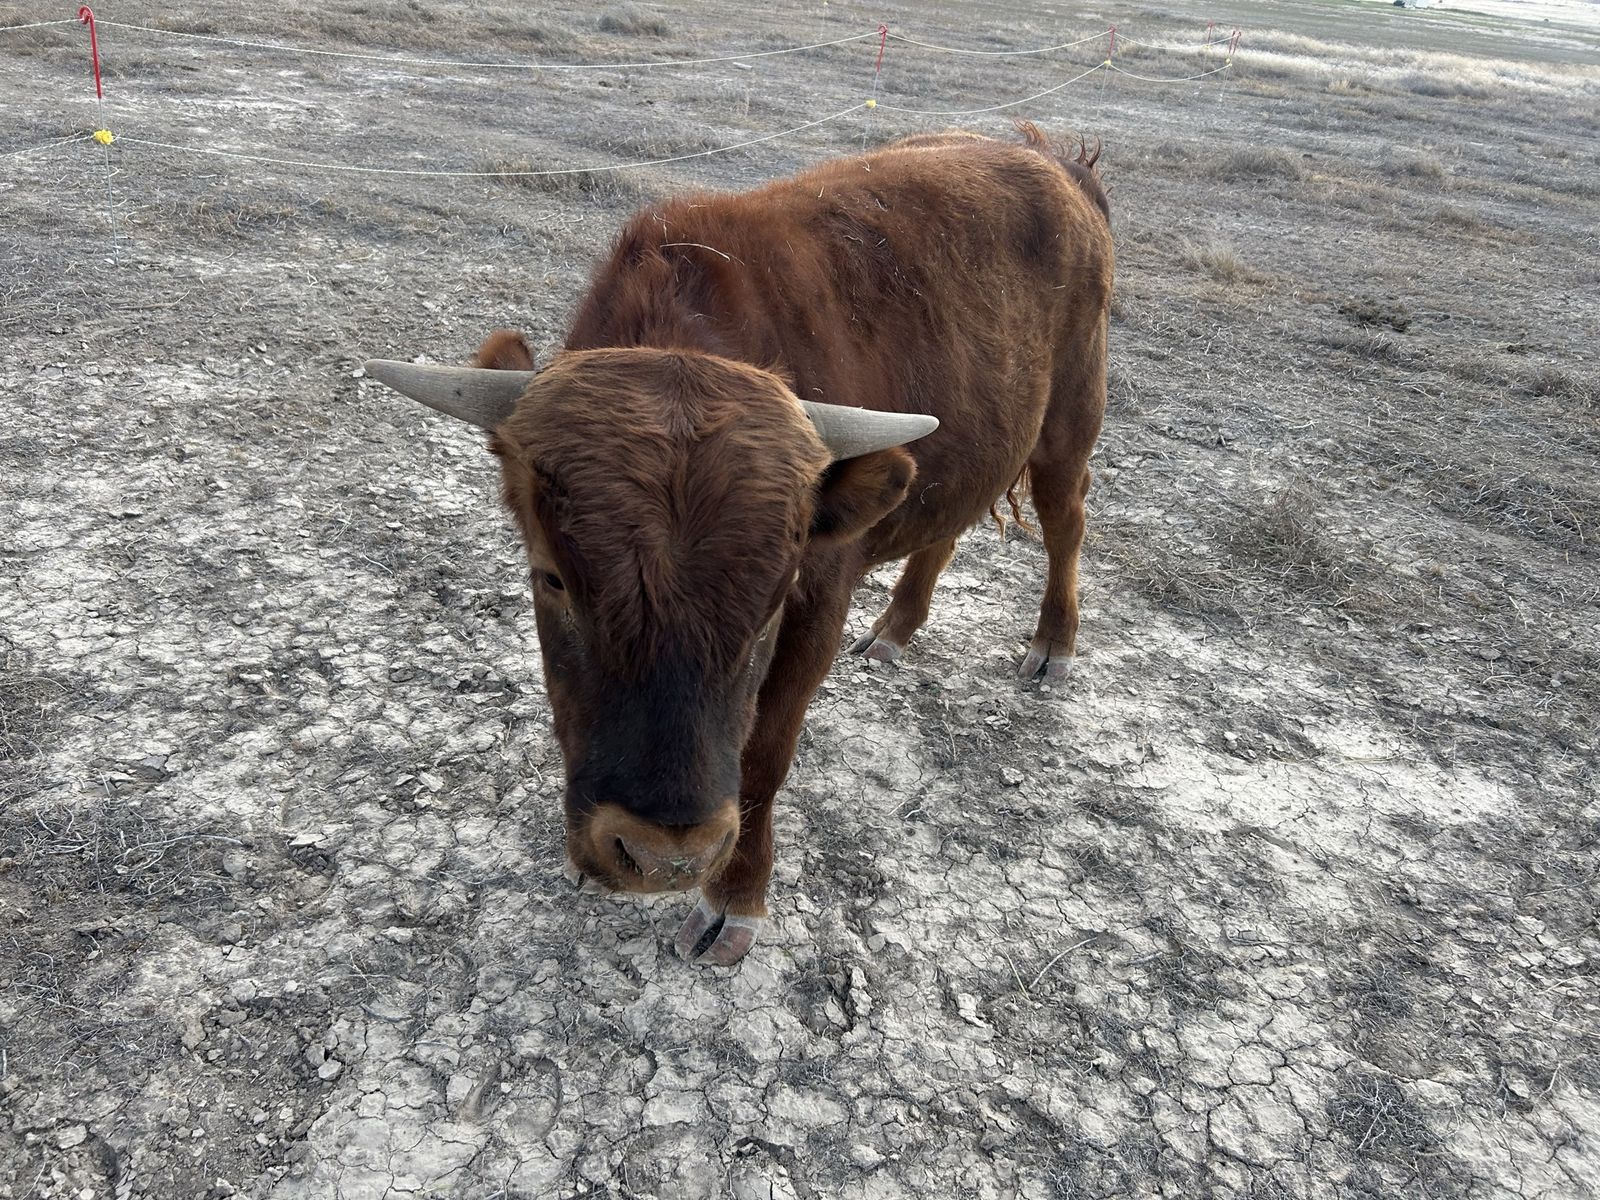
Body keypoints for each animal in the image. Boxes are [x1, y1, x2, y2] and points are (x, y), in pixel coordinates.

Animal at [365, 122, 1112, 965]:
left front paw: (736, 894)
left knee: (1067, 520)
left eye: (774, 595)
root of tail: (1054, 161)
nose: (664, 858)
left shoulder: (820, 597)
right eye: (551, 577)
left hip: (1069, 425)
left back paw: (1053, 643)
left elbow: (765, 752)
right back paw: (897, 627)